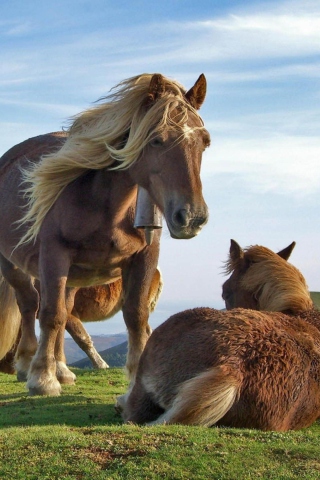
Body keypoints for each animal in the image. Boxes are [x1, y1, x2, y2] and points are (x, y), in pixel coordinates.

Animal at [0, 73, 210, 396]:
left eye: (205, 142)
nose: (191, 217)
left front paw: (136, 379)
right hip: (13, 263)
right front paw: (42, 379)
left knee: (66, 310)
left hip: (75, 275)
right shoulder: (53, 255)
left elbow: (136, 317)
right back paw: (27, 364)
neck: (106, 205)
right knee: (29, 304)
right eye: (156, 139)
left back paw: (62, 369)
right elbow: (50, 314)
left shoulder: (144, 257)